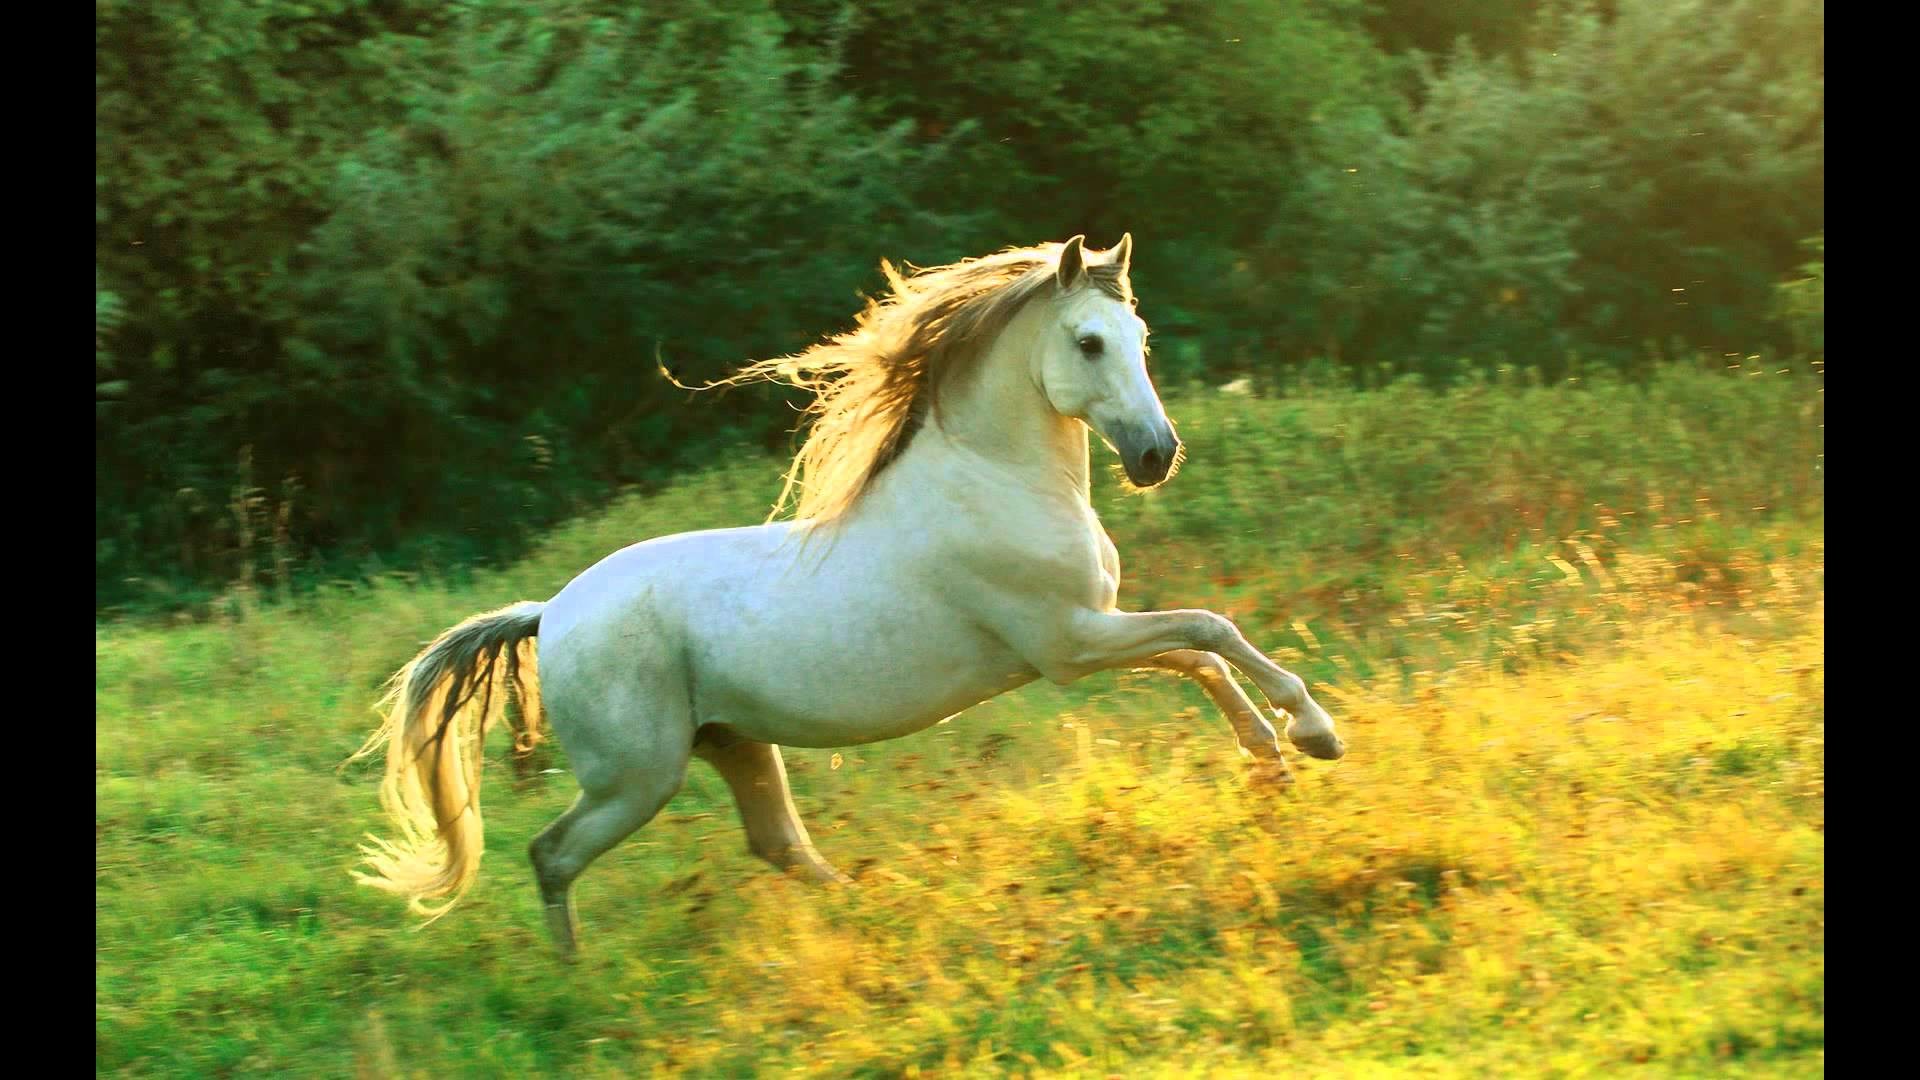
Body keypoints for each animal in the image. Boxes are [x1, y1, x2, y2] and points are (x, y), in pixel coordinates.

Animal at [348, 234, 1347, 957]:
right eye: (1089, 342)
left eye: (1139, 341)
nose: (1155, 455)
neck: (995, 481)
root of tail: (548, 613)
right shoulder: (1069, 644)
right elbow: (1210, 630)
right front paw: (1312, 732)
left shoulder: (1089, 633)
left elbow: (1201, 654)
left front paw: (1273, 760)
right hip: (637, 777)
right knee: (552, 854)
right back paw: (577, 977)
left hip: (732, 744)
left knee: (776, 844)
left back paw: (875, 912)